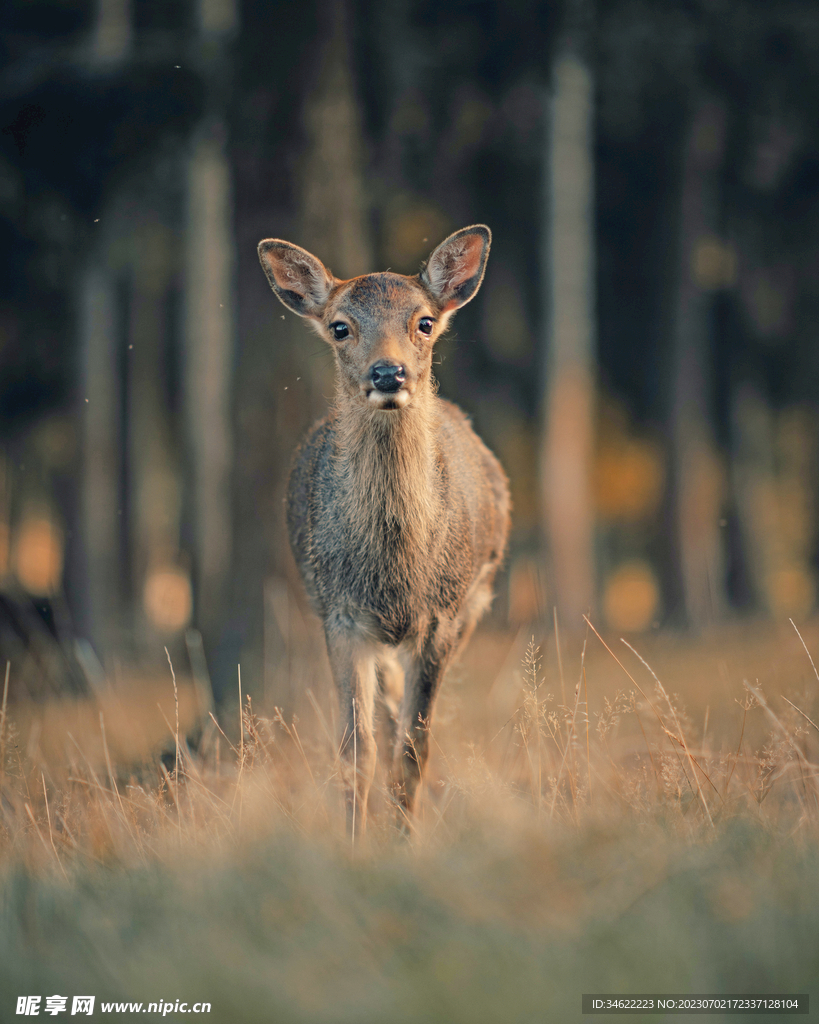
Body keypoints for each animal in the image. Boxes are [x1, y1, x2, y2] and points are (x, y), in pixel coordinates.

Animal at [259, 224, 507, 831]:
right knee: (387, 714)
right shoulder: (340, 614)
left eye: (424, 322)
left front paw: (404, 838)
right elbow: (357, 750)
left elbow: (415, 747)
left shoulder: (442, 616)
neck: (394, 572)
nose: (388, 372)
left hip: (474, 604)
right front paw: (356, 838)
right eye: (340, 326)